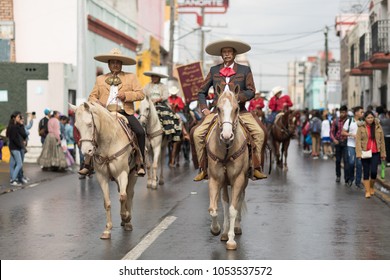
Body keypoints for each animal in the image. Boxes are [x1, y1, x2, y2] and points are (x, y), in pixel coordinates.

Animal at [69, 101, 138, 240]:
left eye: (90, 124)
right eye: (76, 127)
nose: (86, 151)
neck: (109, 142)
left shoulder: (122, 173)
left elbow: (123, 196)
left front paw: (126, 216)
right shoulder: (102, 177)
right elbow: (107, 202)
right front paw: (107, 229)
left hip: (133, 174)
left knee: (129, 193)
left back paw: (128, 221)